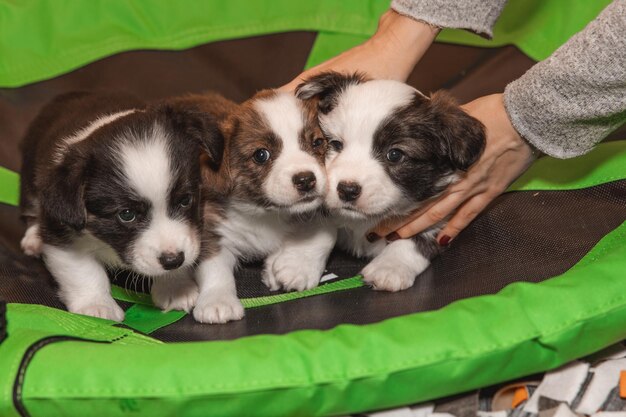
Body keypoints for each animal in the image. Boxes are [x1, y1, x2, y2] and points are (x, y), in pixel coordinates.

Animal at [20, 92, 224, 320]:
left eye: (185, 200)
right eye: (126, 214)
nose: (173, 260)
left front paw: (175, 287)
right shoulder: (60, 234)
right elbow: (84, 272)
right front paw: (97, 306)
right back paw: (33, 238)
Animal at [189, 91, 332, 324]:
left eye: (317, 142)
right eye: (261, 155)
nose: (306, 180)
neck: (265, 212)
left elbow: (326, 232)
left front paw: (298, 266)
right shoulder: (212, 227)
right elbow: (214, 267)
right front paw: (217, 301)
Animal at [290, 71, 486, 290]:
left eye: (394, 155)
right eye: (335, 144)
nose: (347, 190)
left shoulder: (442, 213)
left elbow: (417, 239)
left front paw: (390, 267)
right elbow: (320, 225)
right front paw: (298, 263)